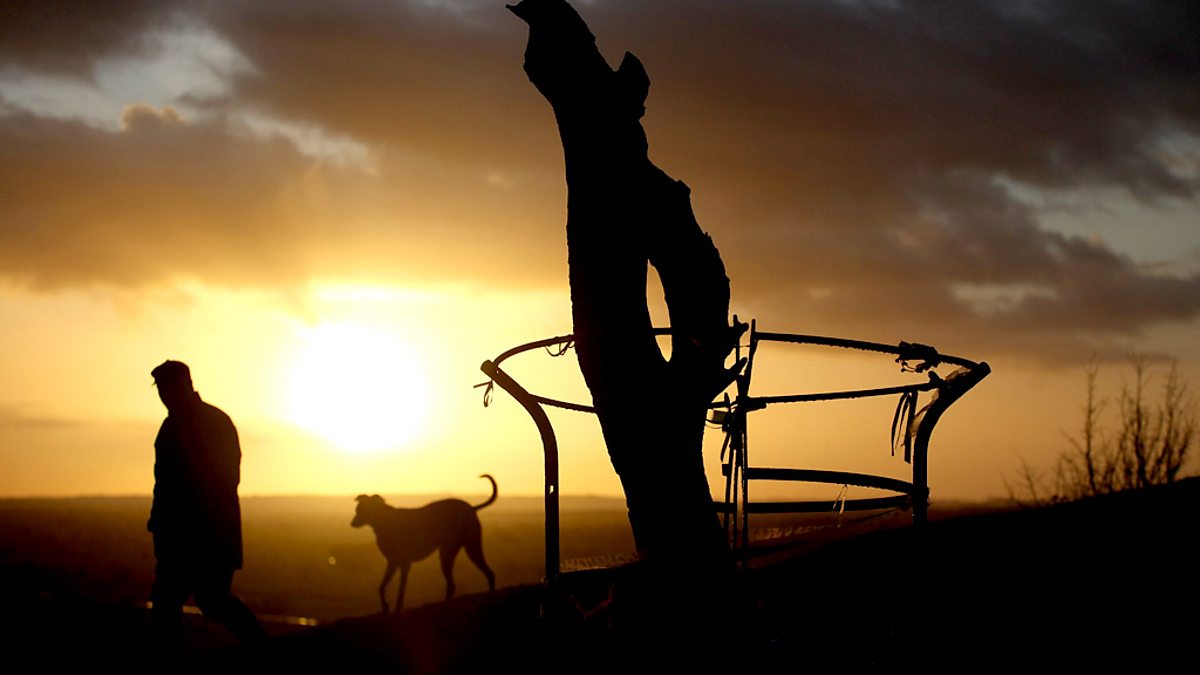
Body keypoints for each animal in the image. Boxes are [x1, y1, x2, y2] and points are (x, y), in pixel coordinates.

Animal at [352, 474, 497, 613]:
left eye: (359, 509)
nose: (352, 523)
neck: (384, 518)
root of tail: (470, 508)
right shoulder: (395, 563)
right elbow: (382, 587)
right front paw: (386, 607)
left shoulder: (402, 563)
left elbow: (399, 590)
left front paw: (396, 608)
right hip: (471, 548)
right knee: (488, 573)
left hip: (447, 552)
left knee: (453, 584)